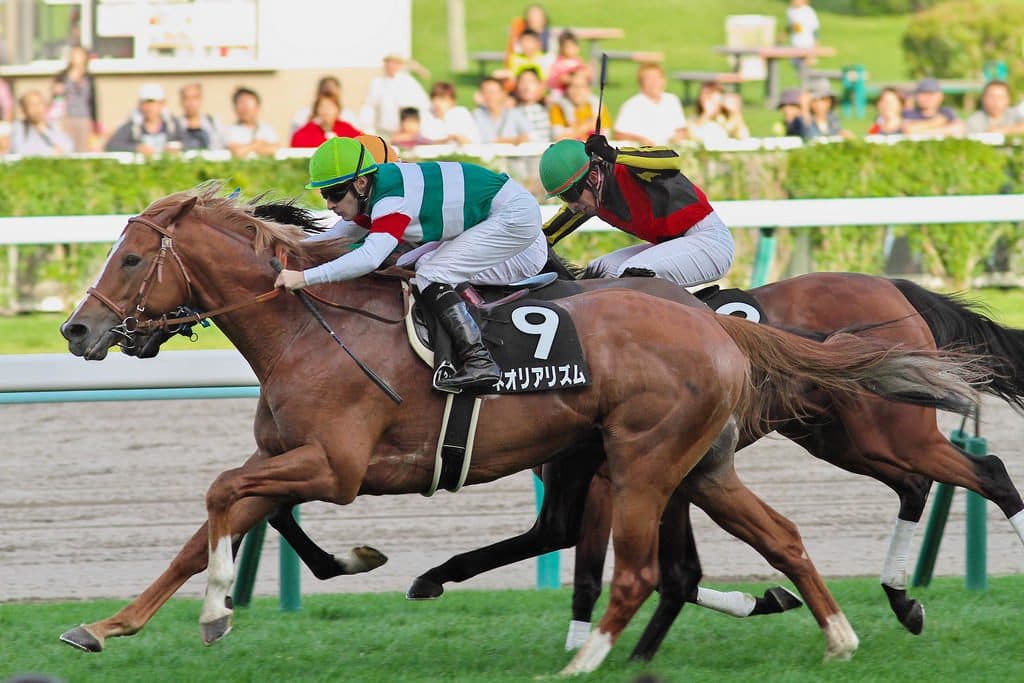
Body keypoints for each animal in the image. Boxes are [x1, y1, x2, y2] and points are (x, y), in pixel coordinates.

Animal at [57, 186, 982, 674]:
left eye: (131, 258)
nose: (77, 330)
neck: (306, 325)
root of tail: (719, 329)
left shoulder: (340, 465)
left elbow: (225, 497)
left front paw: (222, 608)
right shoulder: (288, 454)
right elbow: (212, 525)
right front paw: (108, 624)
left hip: (643, 460)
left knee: (642, 569)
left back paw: (583, 661)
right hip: (700, 465)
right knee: (778, 535)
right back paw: (837, 631)